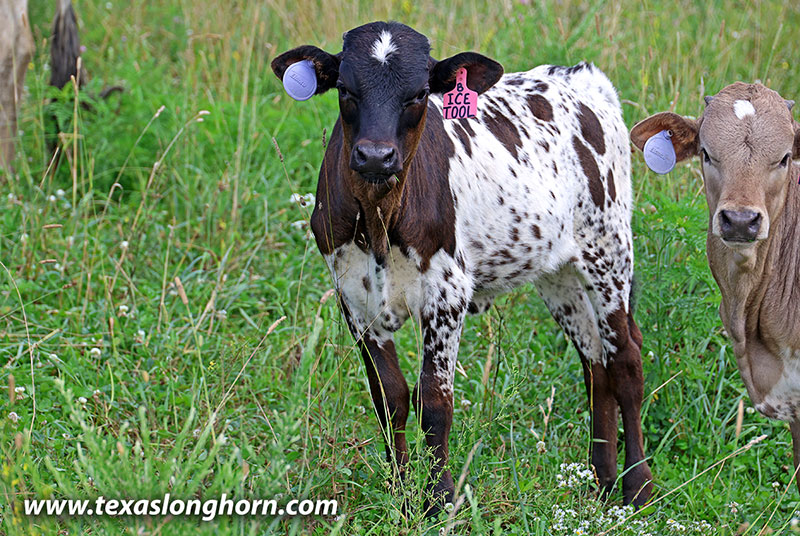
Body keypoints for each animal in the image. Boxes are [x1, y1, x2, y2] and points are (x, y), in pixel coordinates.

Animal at [272, 21, 653, 512]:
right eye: (344, 88)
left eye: (419, 94)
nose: (375, 156)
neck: (379, 219)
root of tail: (579, 75)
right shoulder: (353, 296)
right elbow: (390, 397)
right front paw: (400, 493)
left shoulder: (446, 292)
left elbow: (435, 401)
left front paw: (439, 498)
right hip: (559, 274)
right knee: (595, 362)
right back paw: (603, 481)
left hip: (609, 250)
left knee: (625, 361)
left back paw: (637, 486)